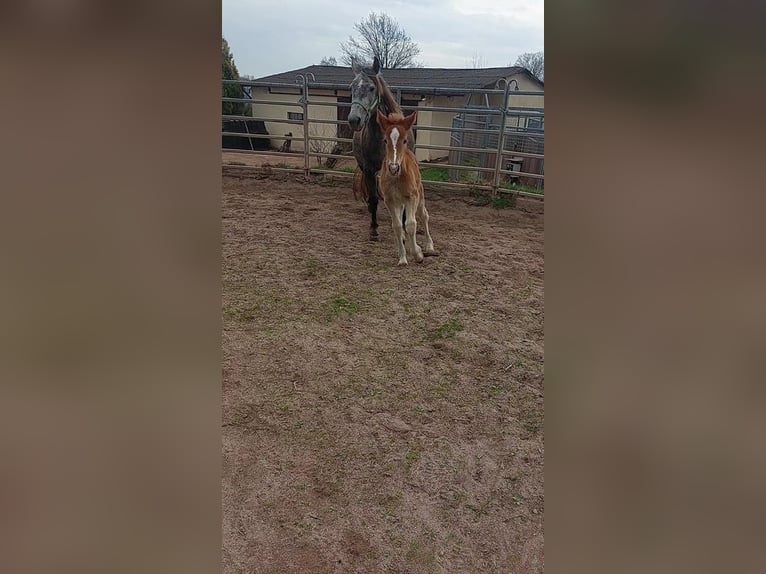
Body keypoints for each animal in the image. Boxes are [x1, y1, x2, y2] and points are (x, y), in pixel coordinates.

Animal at [376, 109, 438, 266]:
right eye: (385, 140)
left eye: (404, 141)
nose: (393, 168)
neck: (396, 178)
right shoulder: (389, 200)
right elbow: (397, 226)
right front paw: (403, 258)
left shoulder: (412, 197)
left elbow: (411, 224)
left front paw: (418, 254)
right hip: (400, 202)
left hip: (420, 195)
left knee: (423, 215)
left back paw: (429, 246)